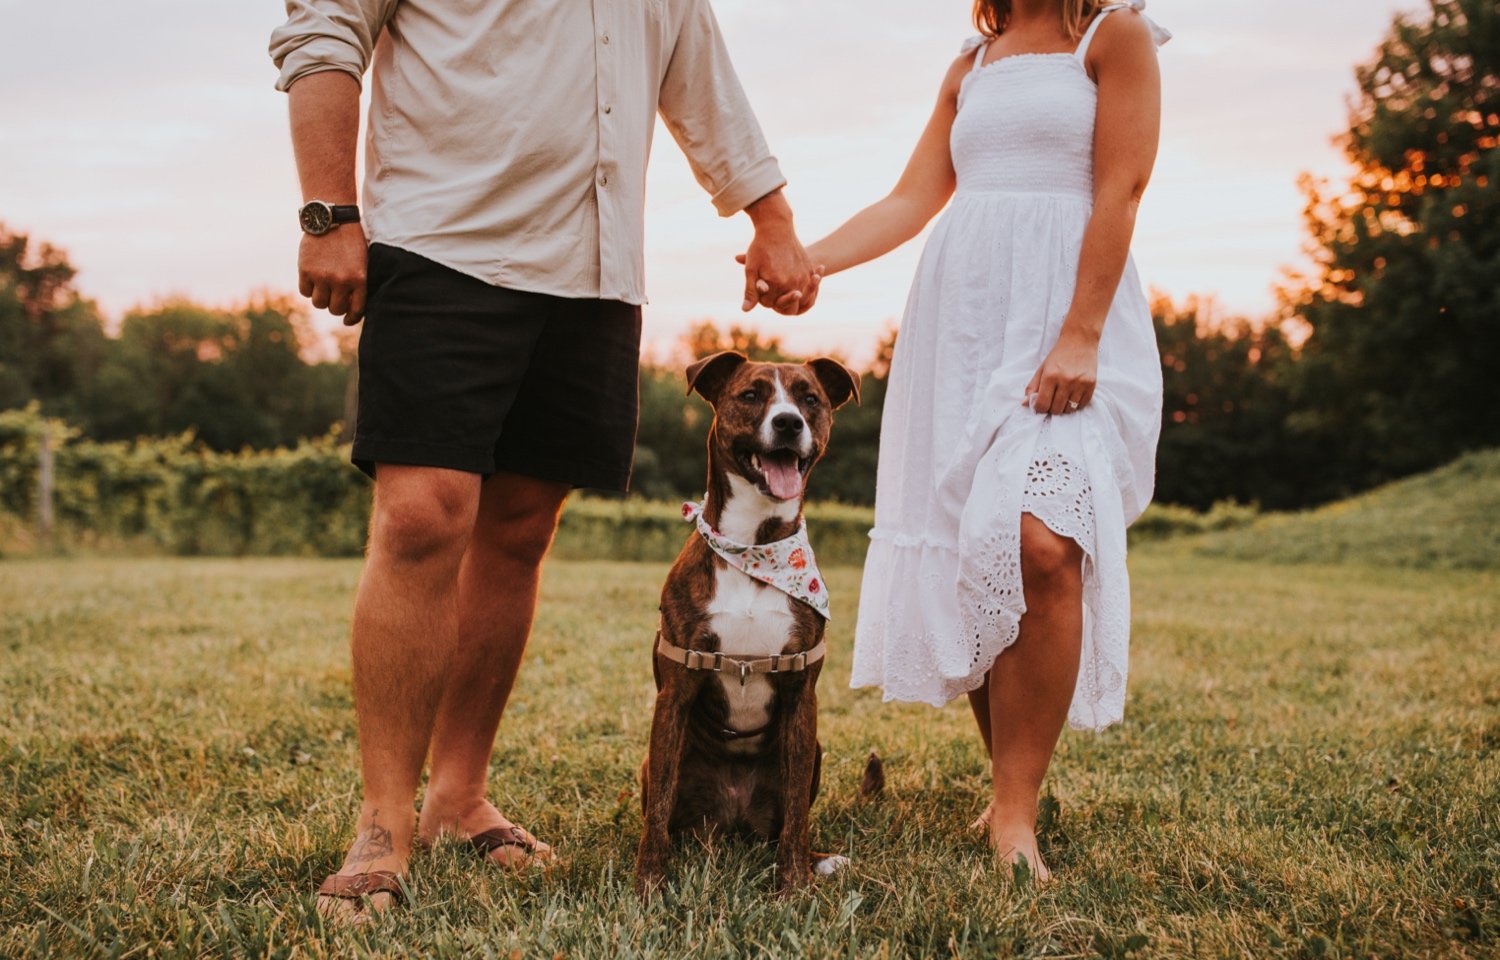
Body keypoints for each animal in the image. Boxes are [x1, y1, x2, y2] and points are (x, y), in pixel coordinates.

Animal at [636, 348, 864, 894]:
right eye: (751, 394)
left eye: (809, 399)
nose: (788, 423)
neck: (753, 548)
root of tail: (733, 819)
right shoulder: (675, 691)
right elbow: (656, 813)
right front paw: (648, 884)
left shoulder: (802, 694)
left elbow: (797, 818)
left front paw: (794, 884)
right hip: (654, 765)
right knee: (667, 809)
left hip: (814, 750)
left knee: (788, 820)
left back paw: (821, 859)